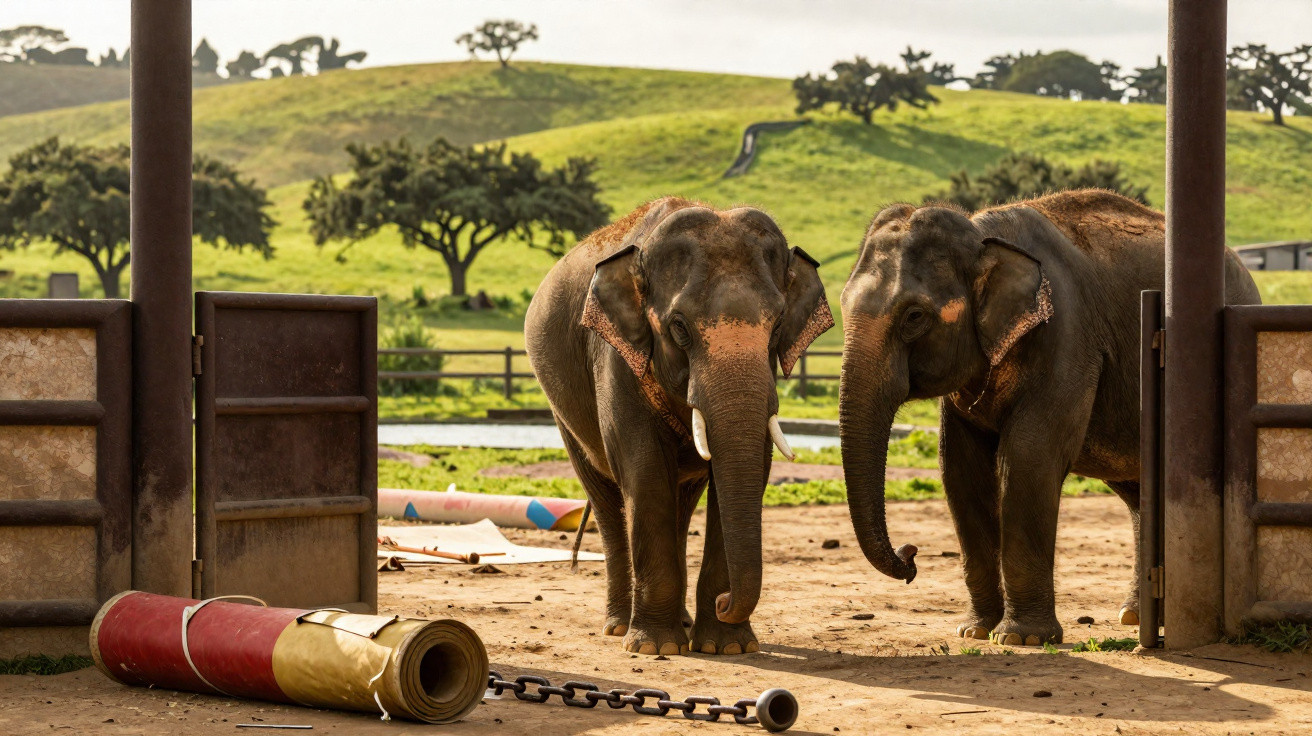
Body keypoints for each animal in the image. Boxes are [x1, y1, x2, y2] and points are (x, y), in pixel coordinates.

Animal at [525, 197, 834, 655]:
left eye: (777, 325)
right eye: (679, 327)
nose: (726, 601)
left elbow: (747, 472)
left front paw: (727, 647)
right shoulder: (616, 356)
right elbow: (645, 472)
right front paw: (656, 648)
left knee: (682, 504)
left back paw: (682, 623)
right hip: (562, 413)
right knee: (607, 500)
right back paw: (619, 626)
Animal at [837, 190, 1260, 646]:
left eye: (914, 316)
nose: (911, 555)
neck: (982, 234)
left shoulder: (1067, 338)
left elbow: (1028, 458)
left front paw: (1020, 639)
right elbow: (960, 471)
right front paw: (974, 631)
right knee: (1139, 494)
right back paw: (1133, 616)